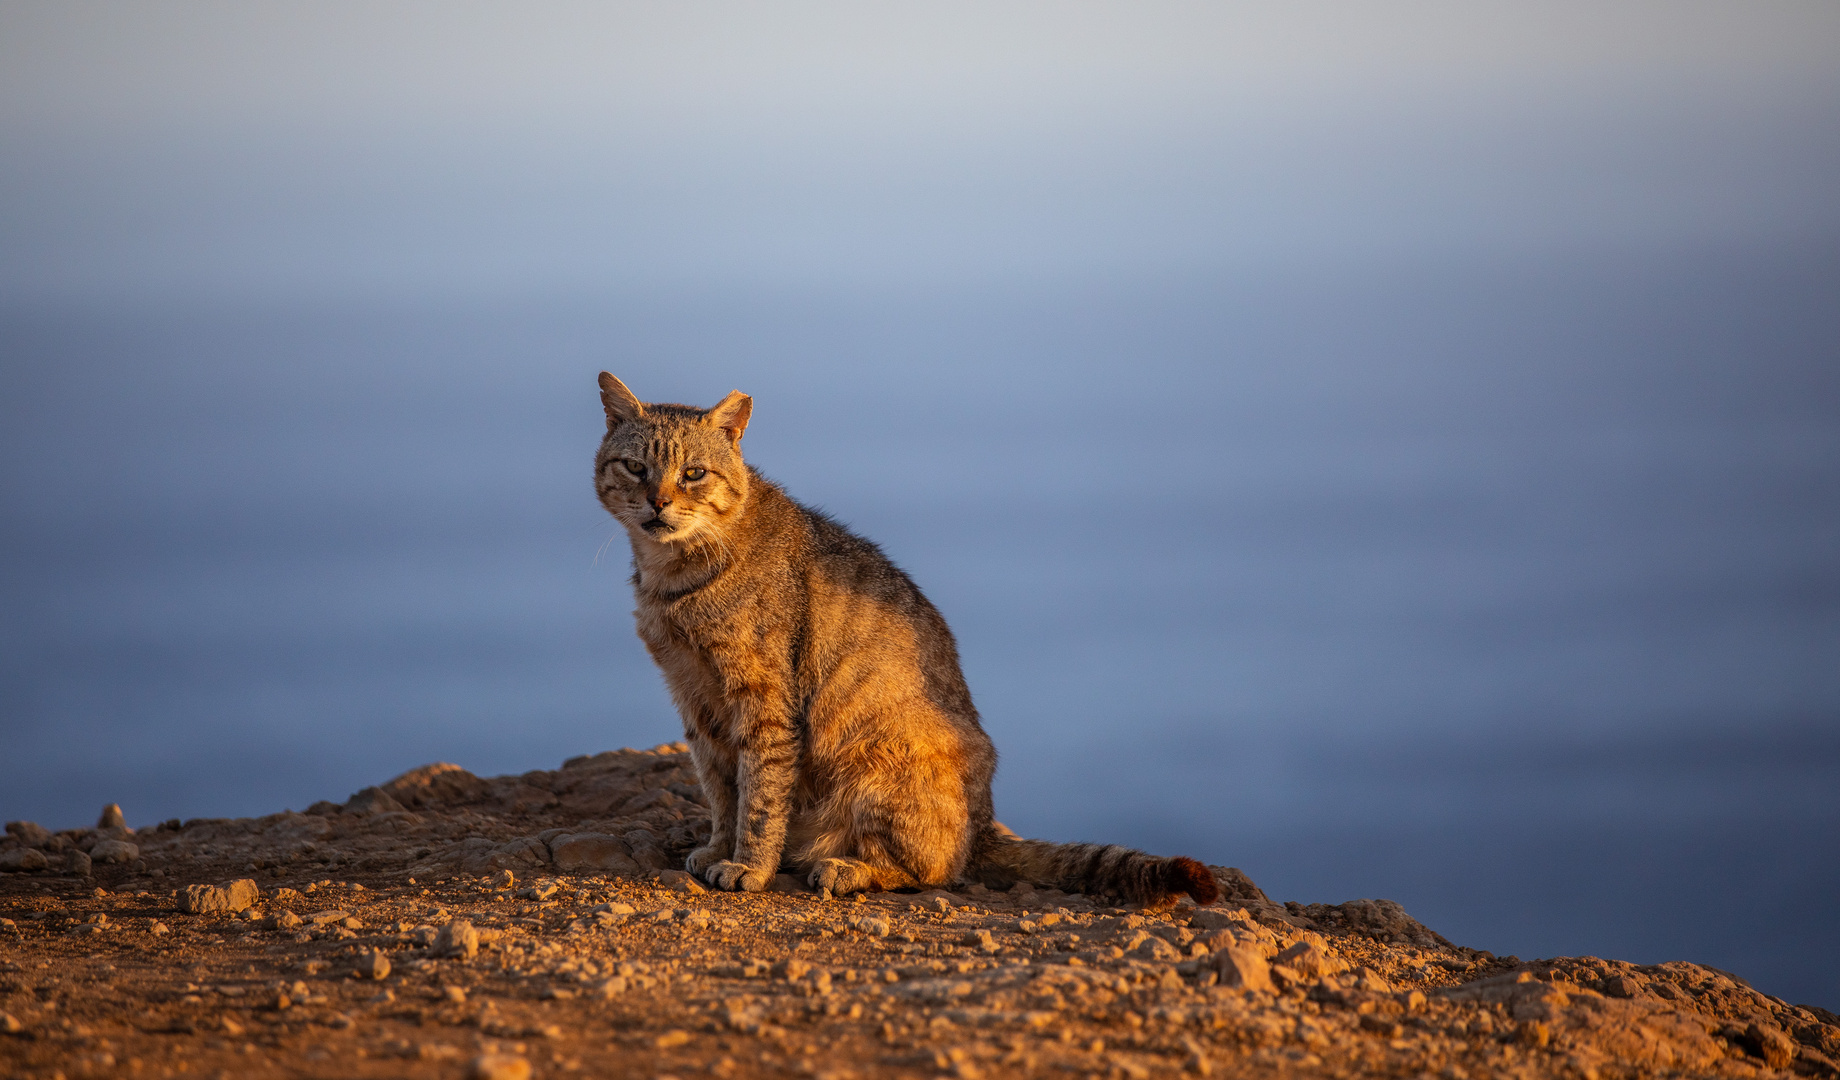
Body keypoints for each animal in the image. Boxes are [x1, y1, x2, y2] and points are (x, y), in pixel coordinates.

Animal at [592, 375, 1221, 908]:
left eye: (693, 473)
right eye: (635, 467)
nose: (658, 502)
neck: (673, 576)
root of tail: (985, 823)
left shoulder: (763, 701)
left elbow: (760, 794)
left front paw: (750, 865)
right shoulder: (694, 698)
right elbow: (721, 789)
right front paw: (720, 847)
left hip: (878, 759)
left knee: (937, 870)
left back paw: (847, 868)